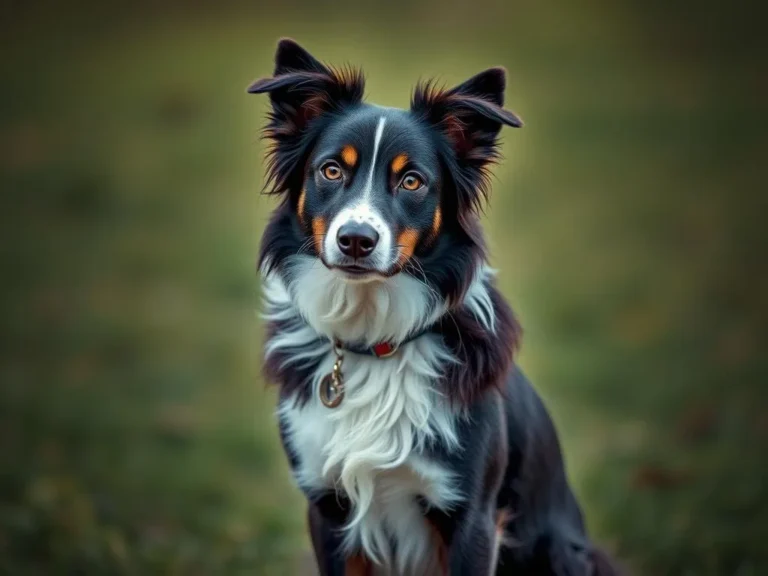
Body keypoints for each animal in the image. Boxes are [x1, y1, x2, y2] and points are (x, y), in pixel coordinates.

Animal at [249, 39, 620, 576]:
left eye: (412, 181)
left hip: (559, 550)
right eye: (331, 170)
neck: (376, 337)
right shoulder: (328, 506)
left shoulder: (473, 517)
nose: (356, 240)